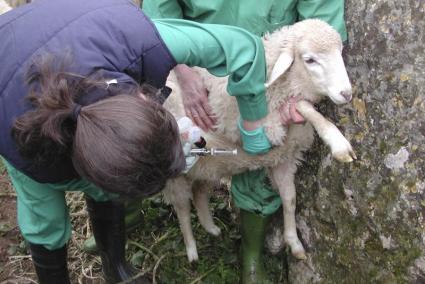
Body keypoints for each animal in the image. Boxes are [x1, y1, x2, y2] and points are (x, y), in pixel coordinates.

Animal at [162, 18, 354, 262]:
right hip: (176, 167)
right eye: (310, 60)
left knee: (199, 192)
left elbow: (290, 199)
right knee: (182, 208)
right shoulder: (264, 126)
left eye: (339, 52)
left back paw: (211, 228)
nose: (346, 93)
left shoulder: (284, 157)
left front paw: (294, 242)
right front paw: (338, 142)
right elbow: (305, 106)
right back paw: (192, 250)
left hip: (209, 162)